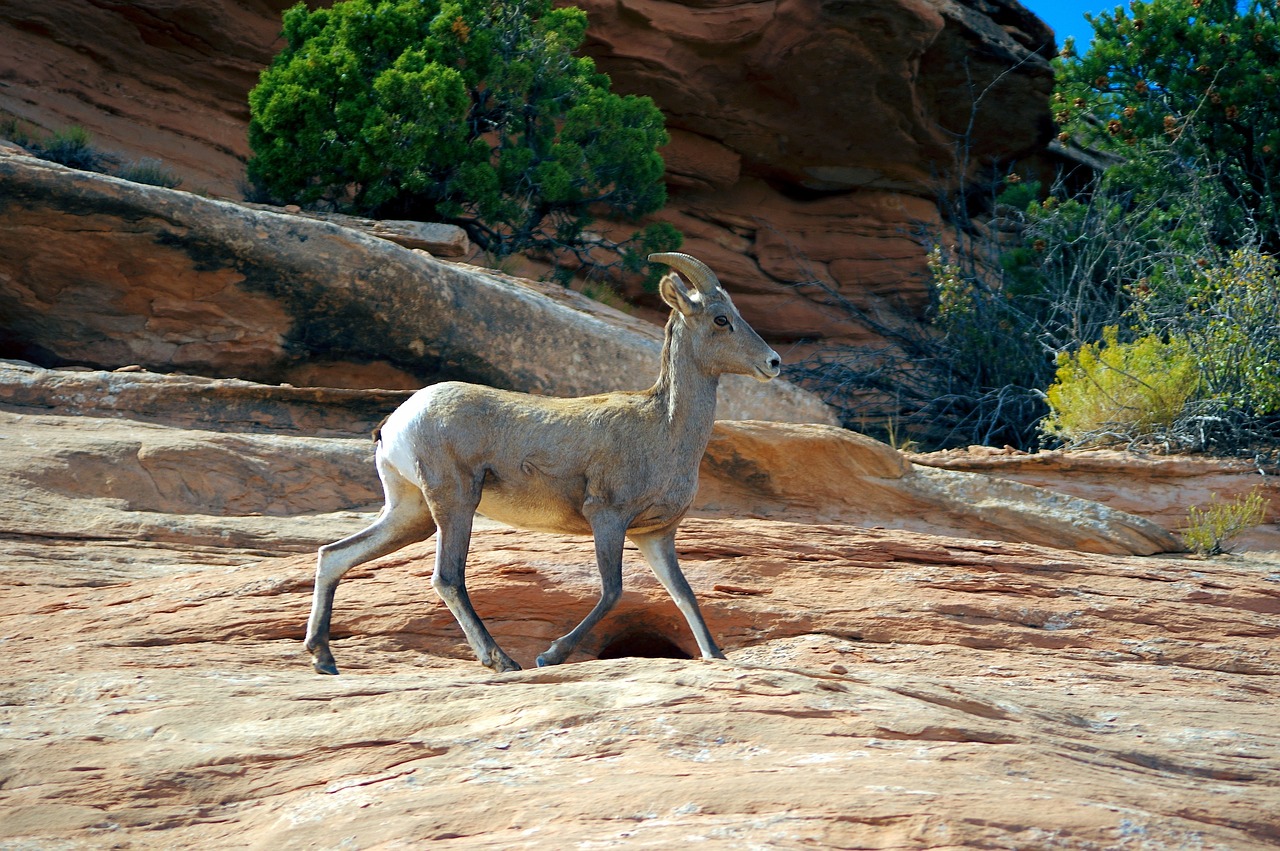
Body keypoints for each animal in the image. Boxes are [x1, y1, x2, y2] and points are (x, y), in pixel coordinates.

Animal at [304, 249, 778, 675]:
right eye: (720, 319)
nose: (773, 362)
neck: (664, 426)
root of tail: (399, 419)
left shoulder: (655, 534)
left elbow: (684, 594)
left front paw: (716, 656)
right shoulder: (608, 517)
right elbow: (613, 591)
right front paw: (549, 656)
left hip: (412, 512)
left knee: (334, 555)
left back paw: (324, 659)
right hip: (455, 502)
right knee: (447, 577)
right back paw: (502, 661)